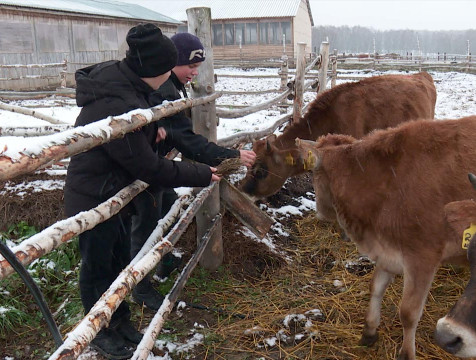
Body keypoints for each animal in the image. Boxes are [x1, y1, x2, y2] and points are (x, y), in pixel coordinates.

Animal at [292, 116, 476, 360]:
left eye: (312, 174)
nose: (320, 211)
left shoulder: (423, 255)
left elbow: (408, 312)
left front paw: (406, 353)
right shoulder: (388, 250)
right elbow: (375, 286)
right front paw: (369, 331)